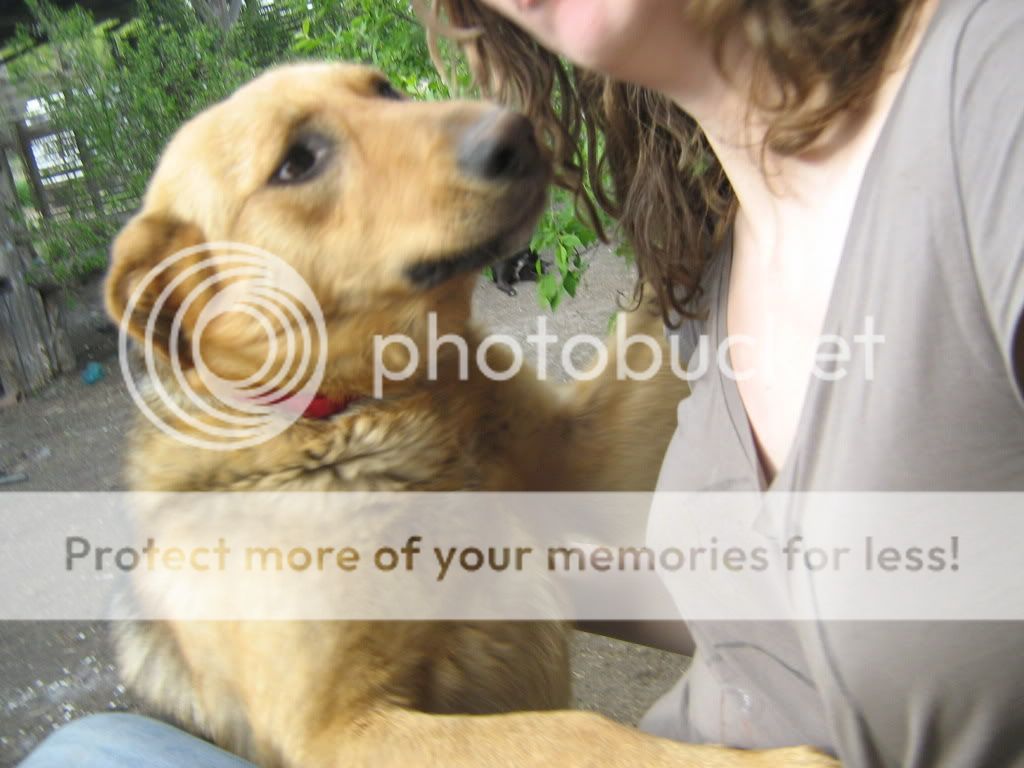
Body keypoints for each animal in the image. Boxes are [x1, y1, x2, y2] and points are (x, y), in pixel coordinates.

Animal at [103, 64, 839, 768]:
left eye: (386, 90)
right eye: (295, 162)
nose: (518, 132)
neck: (367, 412)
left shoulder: (584, 451)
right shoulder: (335, 732)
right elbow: (575, 734)